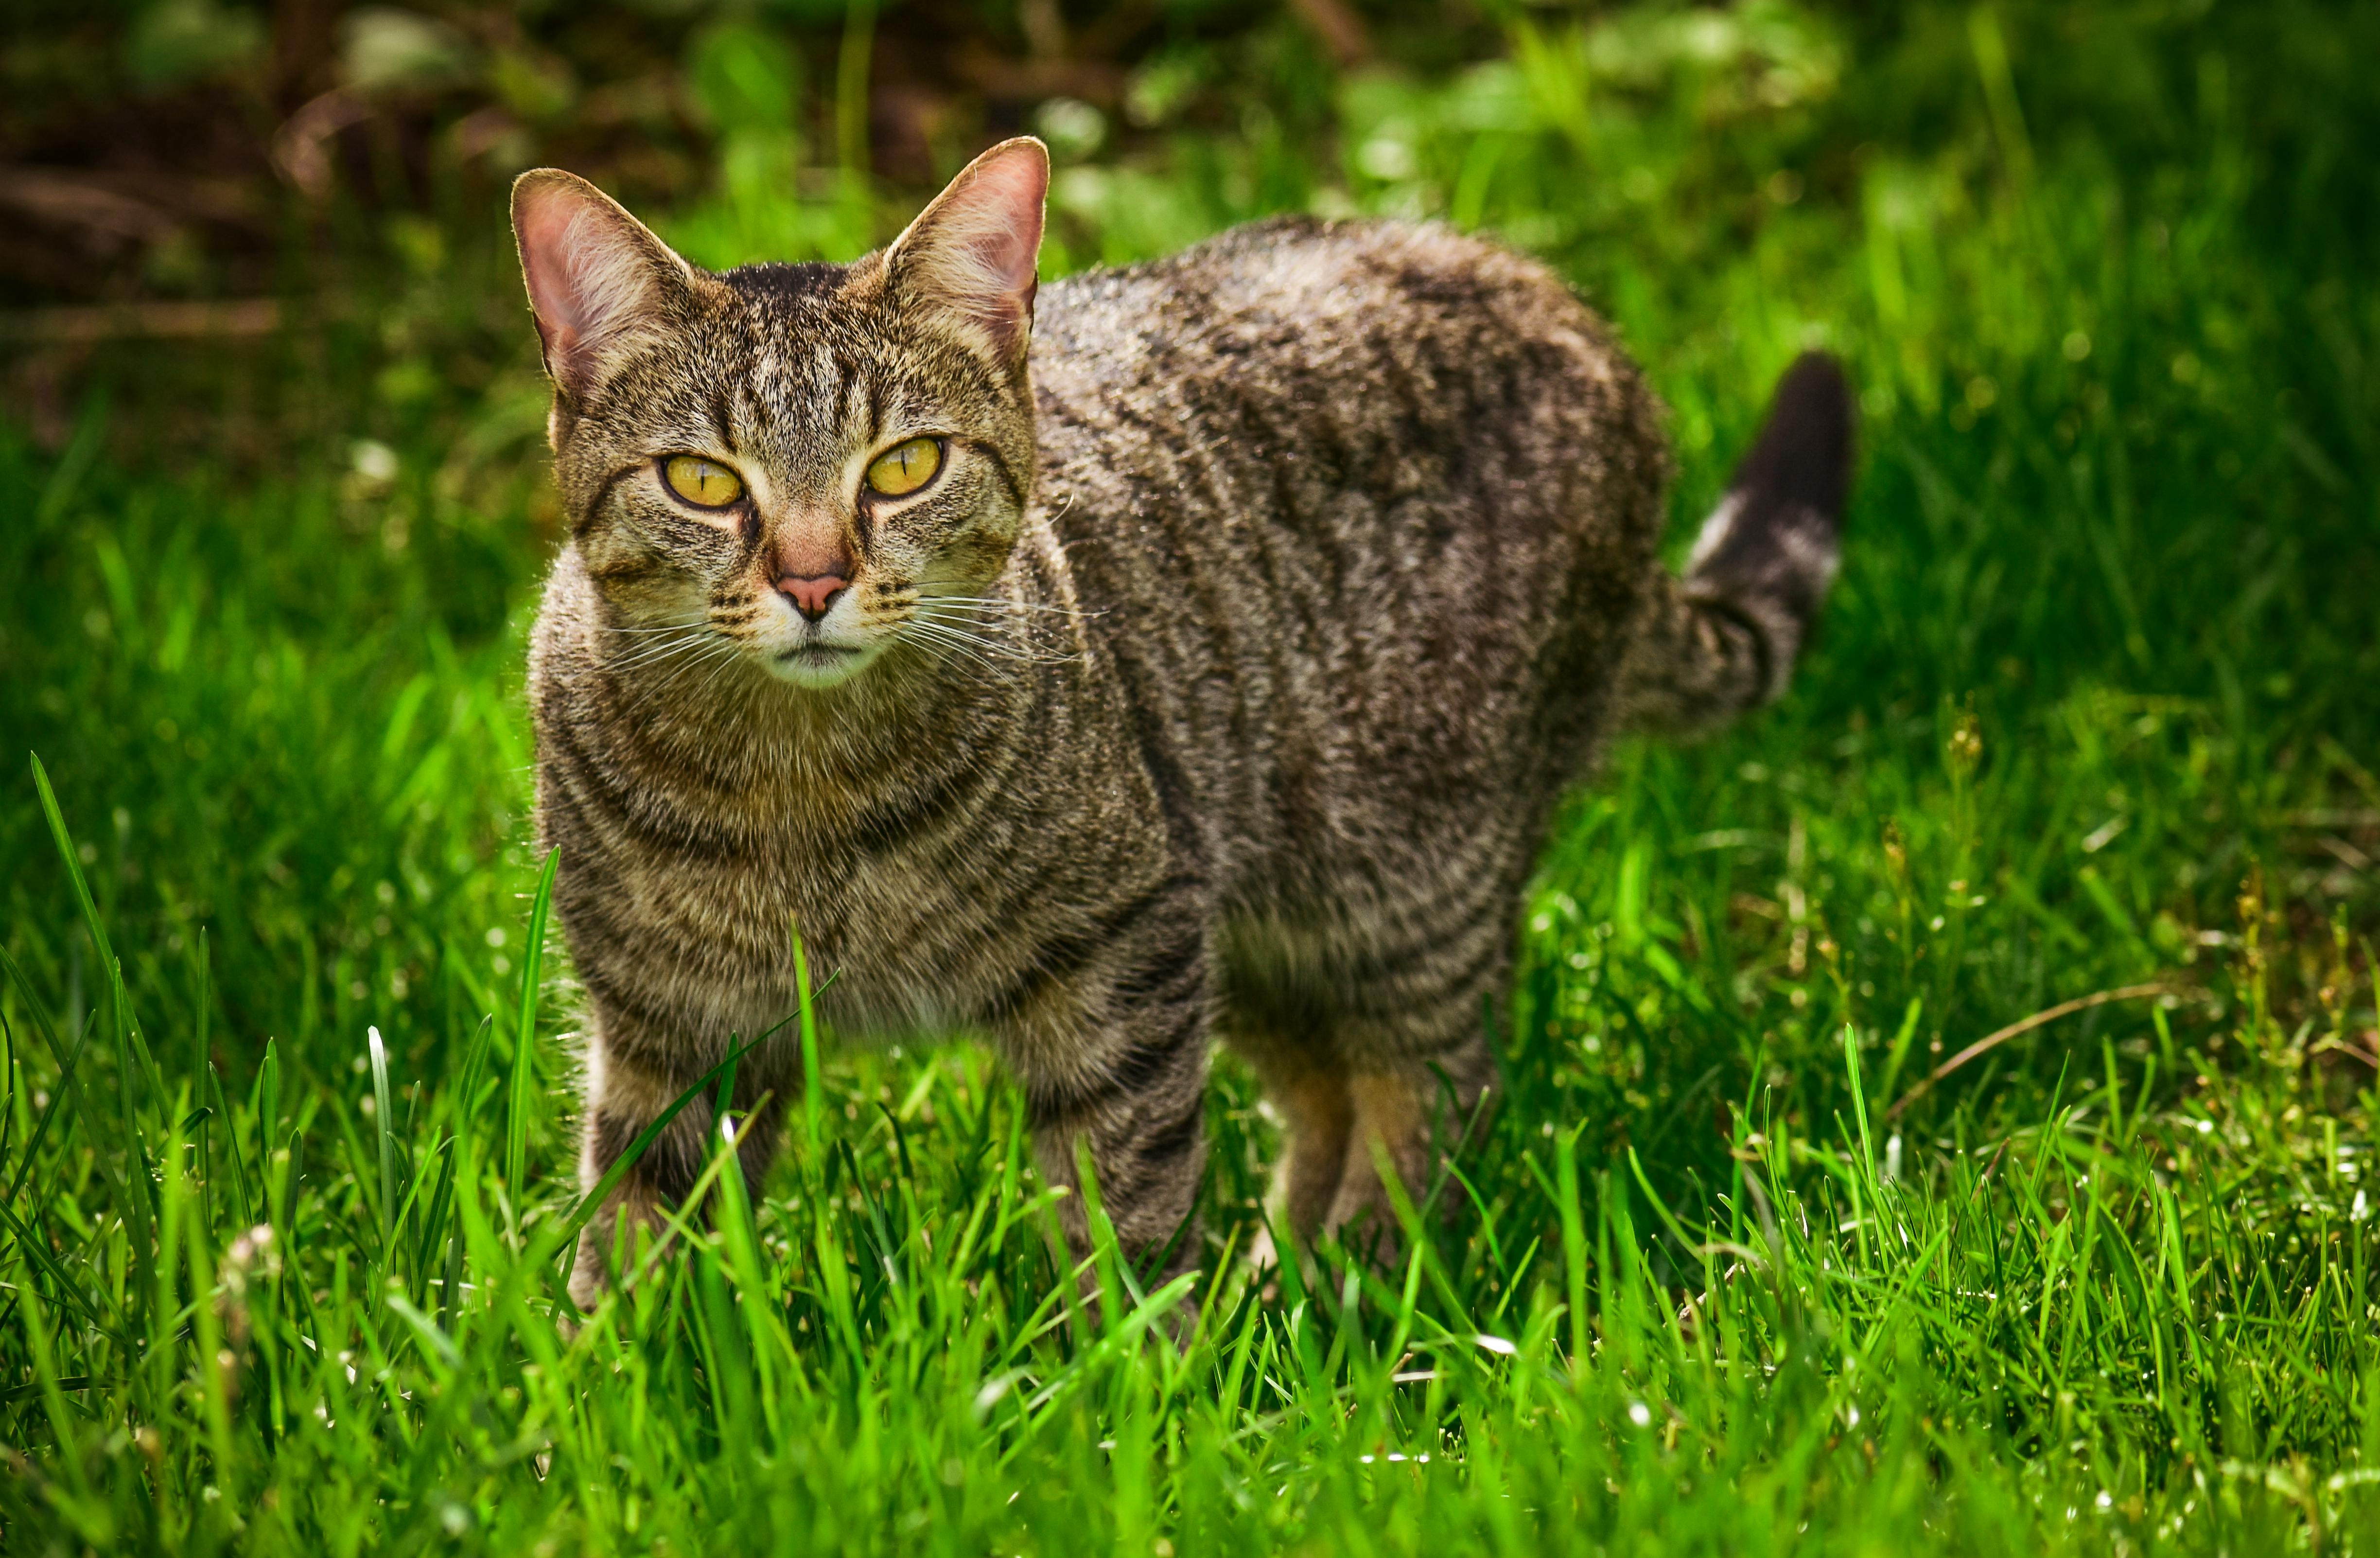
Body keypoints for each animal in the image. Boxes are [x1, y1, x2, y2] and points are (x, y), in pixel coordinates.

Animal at [516, 134, 1856, 1315]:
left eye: (903, 468)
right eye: (702, 482)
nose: (809, 581)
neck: (801, 791)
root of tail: (1559, 299)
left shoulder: (1120, 941)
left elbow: (1128, 1194)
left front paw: (1127, 1378)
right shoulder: (668, 1018)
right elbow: (634, 1218)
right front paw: (613, 1387)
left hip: (1400, 886)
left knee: (1433, 1087)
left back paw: (1363, 1279)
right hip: (1253, 899)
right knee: (1326, 1095)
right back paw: (1291, 1282)